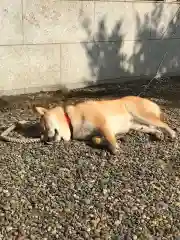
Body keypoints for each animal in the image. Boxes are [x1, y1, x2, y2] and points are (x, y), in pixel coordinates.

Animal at [33, 95, 176, 154]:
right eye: (41, 136)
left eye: (45, 128)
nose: (46, 140)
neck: (70, 119)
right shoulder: (94, 133)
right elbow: (95, 139)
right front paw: (109, 141)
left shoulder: (103, 124)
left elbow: (109, 136)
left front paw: (114, 147)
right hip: (137, 125)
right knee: (154, 128)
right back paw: (158, 134)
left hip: (140, 115)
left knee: (163, 125)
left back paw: (172, 134)